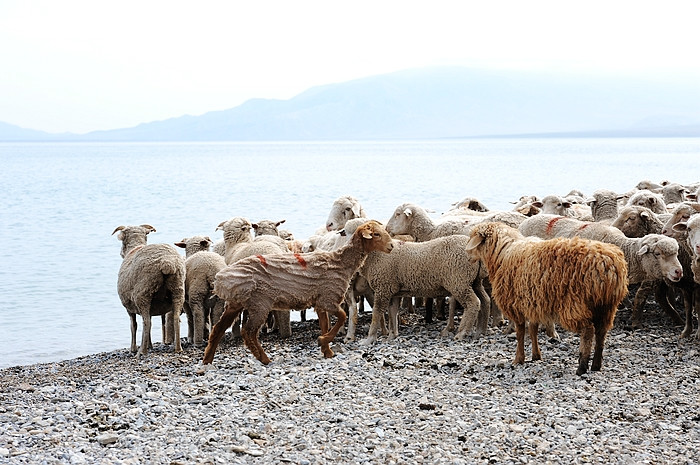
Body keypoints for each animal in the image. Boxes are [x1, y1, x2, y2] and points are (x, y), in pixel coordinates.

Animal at [111, 224, 185, 356]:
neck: (134, 248)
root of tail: (167, 263)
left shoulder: (129, 307)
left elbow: (133, 325)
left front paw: (133, 348)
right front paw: (150, 345)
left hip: (143, 294)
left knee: (146, 322)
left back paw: (141, 351)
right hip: (178, 290)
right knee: (176, 319)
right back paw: (178, 348)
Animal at [198, 219, 394, 368]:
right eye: (376, 235)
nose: (392, 246)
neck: (340, 263)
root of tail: (223, 278)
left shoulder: (319, 302)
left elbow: (325, 323)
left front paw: (327, 350)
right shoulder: (328, 297)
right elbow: (342, 317)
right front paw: (323, 341)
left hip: (236, 303)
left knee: (218, 329)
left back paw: (207, 360)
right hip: (260, 302)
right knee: (248, 332)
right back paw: (264, 358)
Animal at [468, 219, 628, 376]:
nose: (467, 255)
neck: (502, 253)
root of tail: (607, 264)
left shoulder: (516, 305)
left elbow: (520, 333)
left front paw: (519, 358)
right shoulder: (533, 302)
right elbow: (533, 330)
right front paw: (536, 355)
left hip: (576, 303)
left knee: (588, 331)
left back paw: (582, 366)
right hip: (606, 306)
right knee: (601, 332)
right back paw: (596, 365)